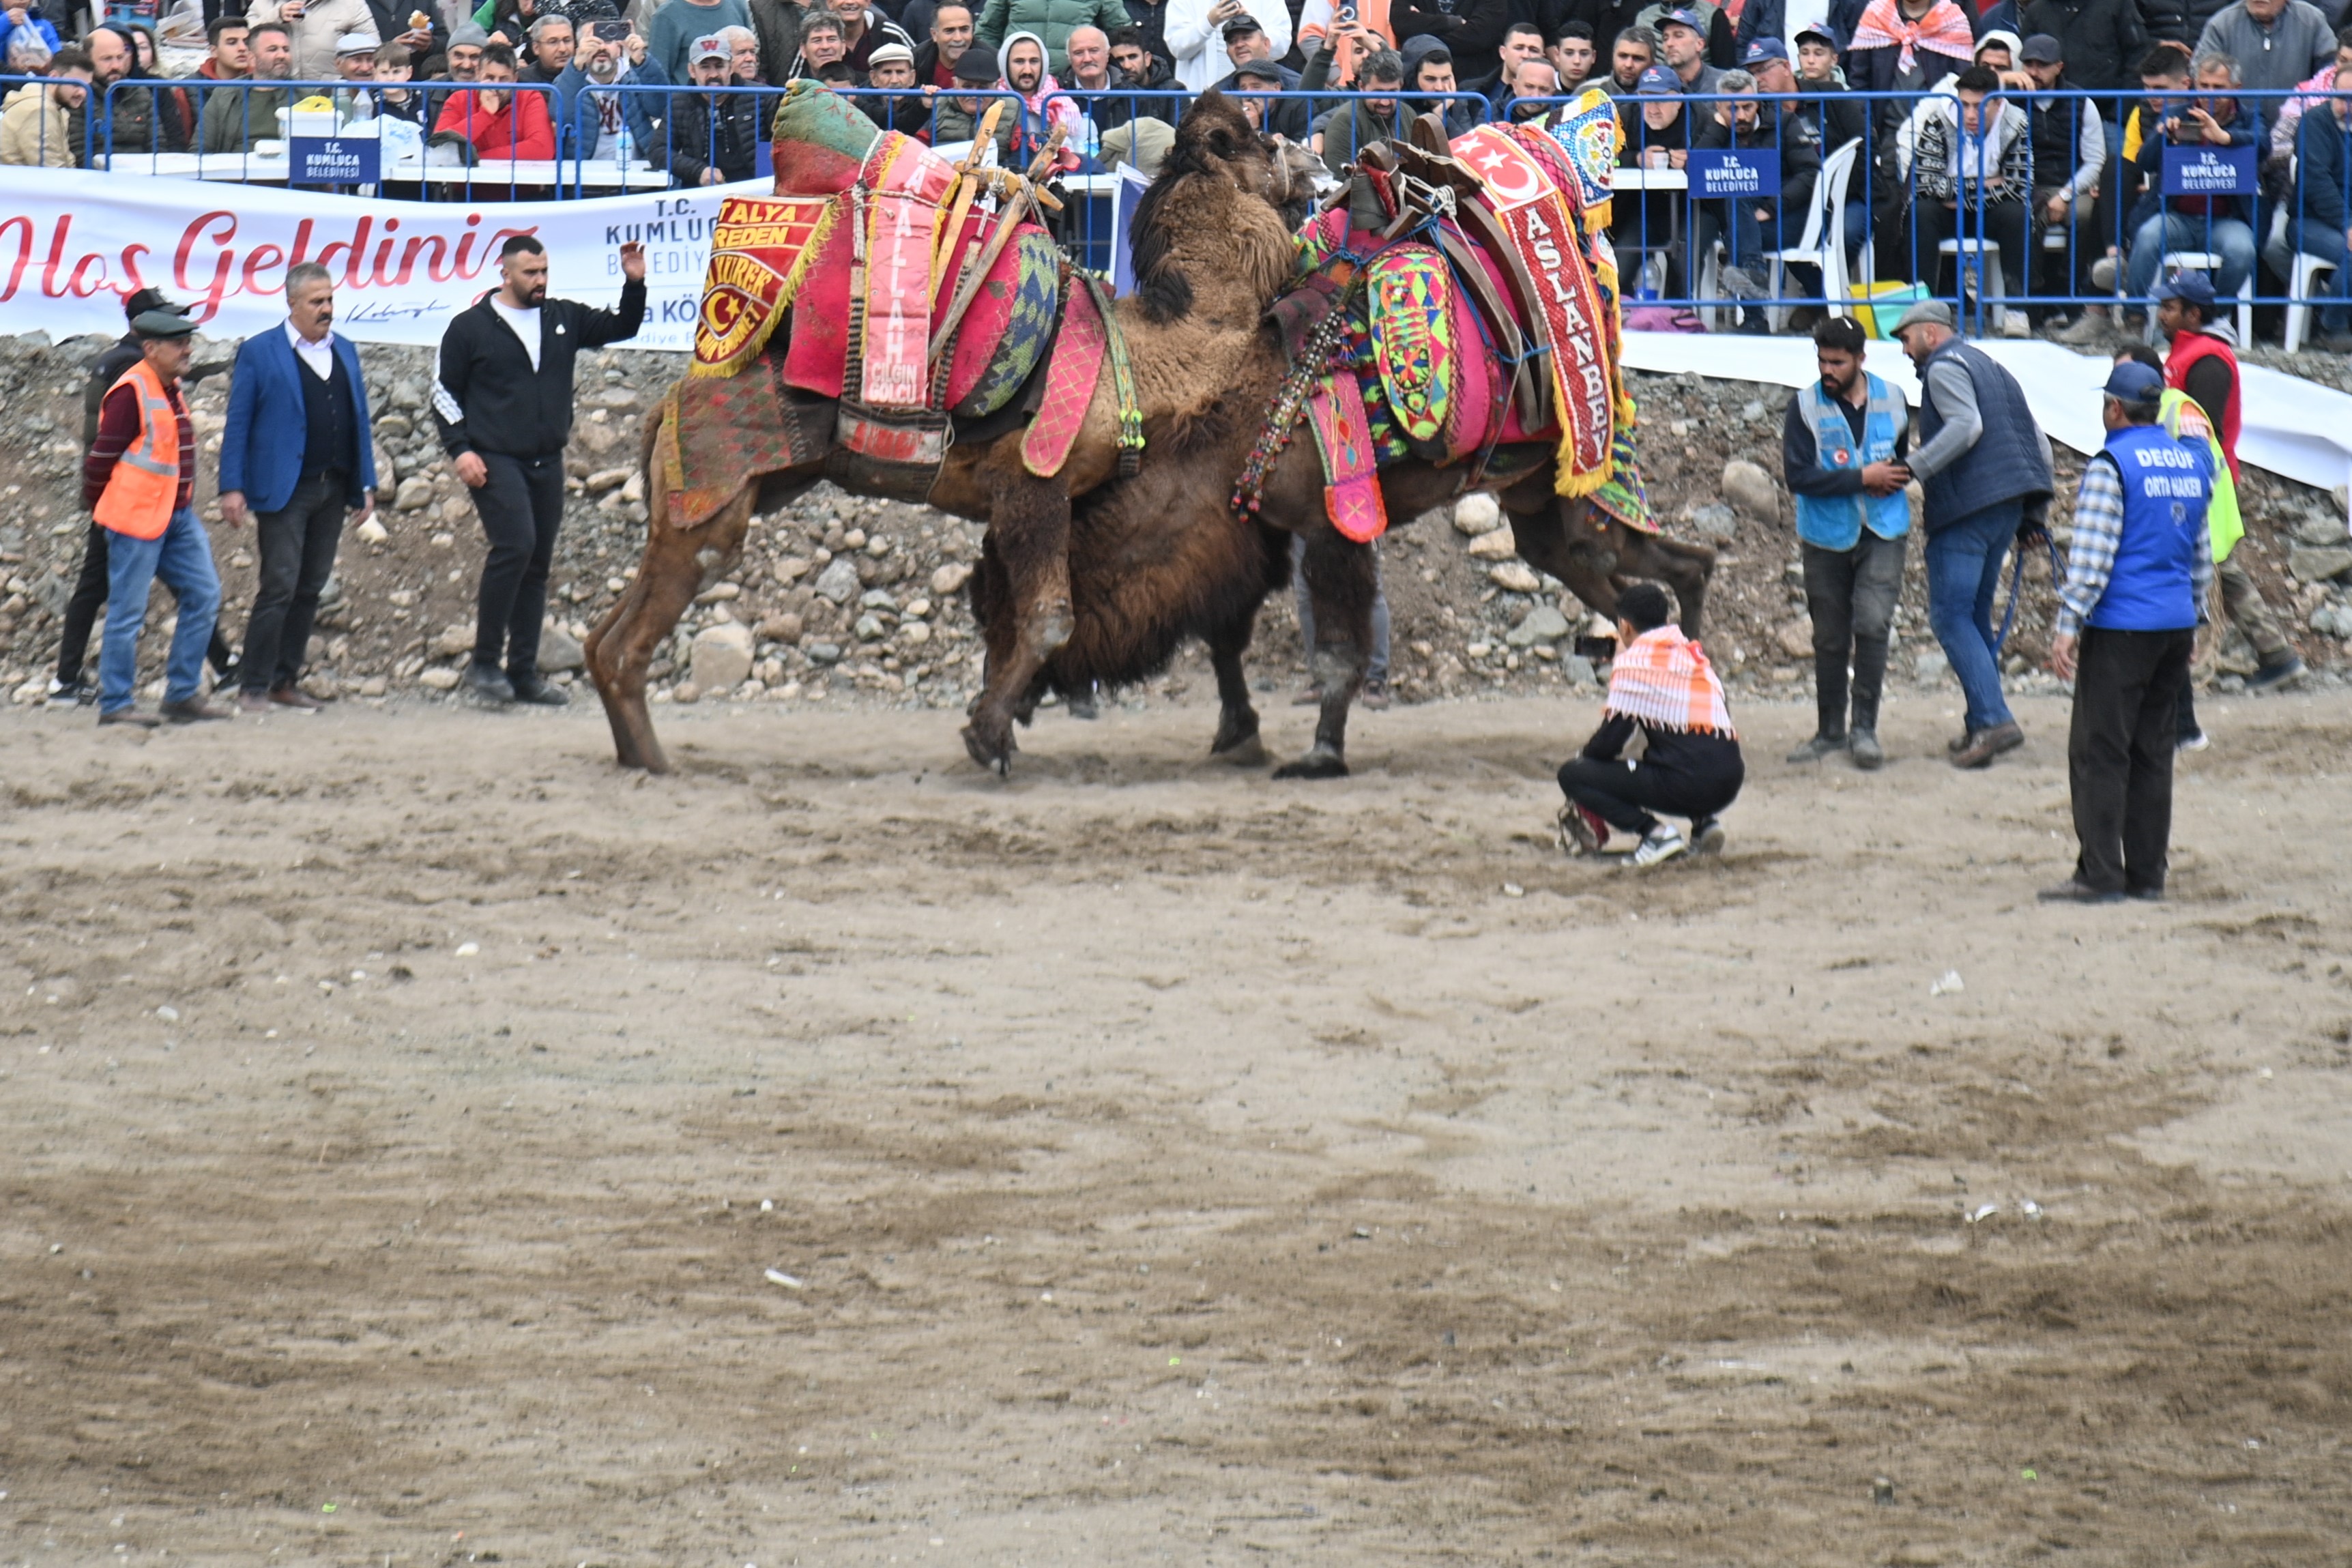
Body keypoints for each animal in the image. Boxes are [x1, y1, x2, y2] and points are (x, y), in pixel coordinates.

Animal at [583, 85, 1326, 771]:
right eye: (1259, 139)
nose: (1319, 160)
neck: (1139, 357)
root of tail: (669, 401)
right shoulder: (1033, 485)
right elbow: (1049, 618)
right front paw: (987, 737)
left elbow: (1013, 613)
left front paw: (999, 718)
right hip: (711, 502)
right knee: (625, 643)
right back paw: (654, 762)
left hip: (718, 499)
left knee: (600, 635)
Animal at [964, 100, 1722, 780]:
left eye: (1003, 617)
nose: (982, 720)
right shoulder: (1253, 533)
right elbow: (1227, 633)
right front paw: (1240, 734)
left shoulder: (1332, 522)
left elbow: (1334, 654)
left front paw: (1319, 754)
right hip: (1544, 500)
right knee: (1645, 573)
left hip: (1589, 471)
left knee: (1660, 569)